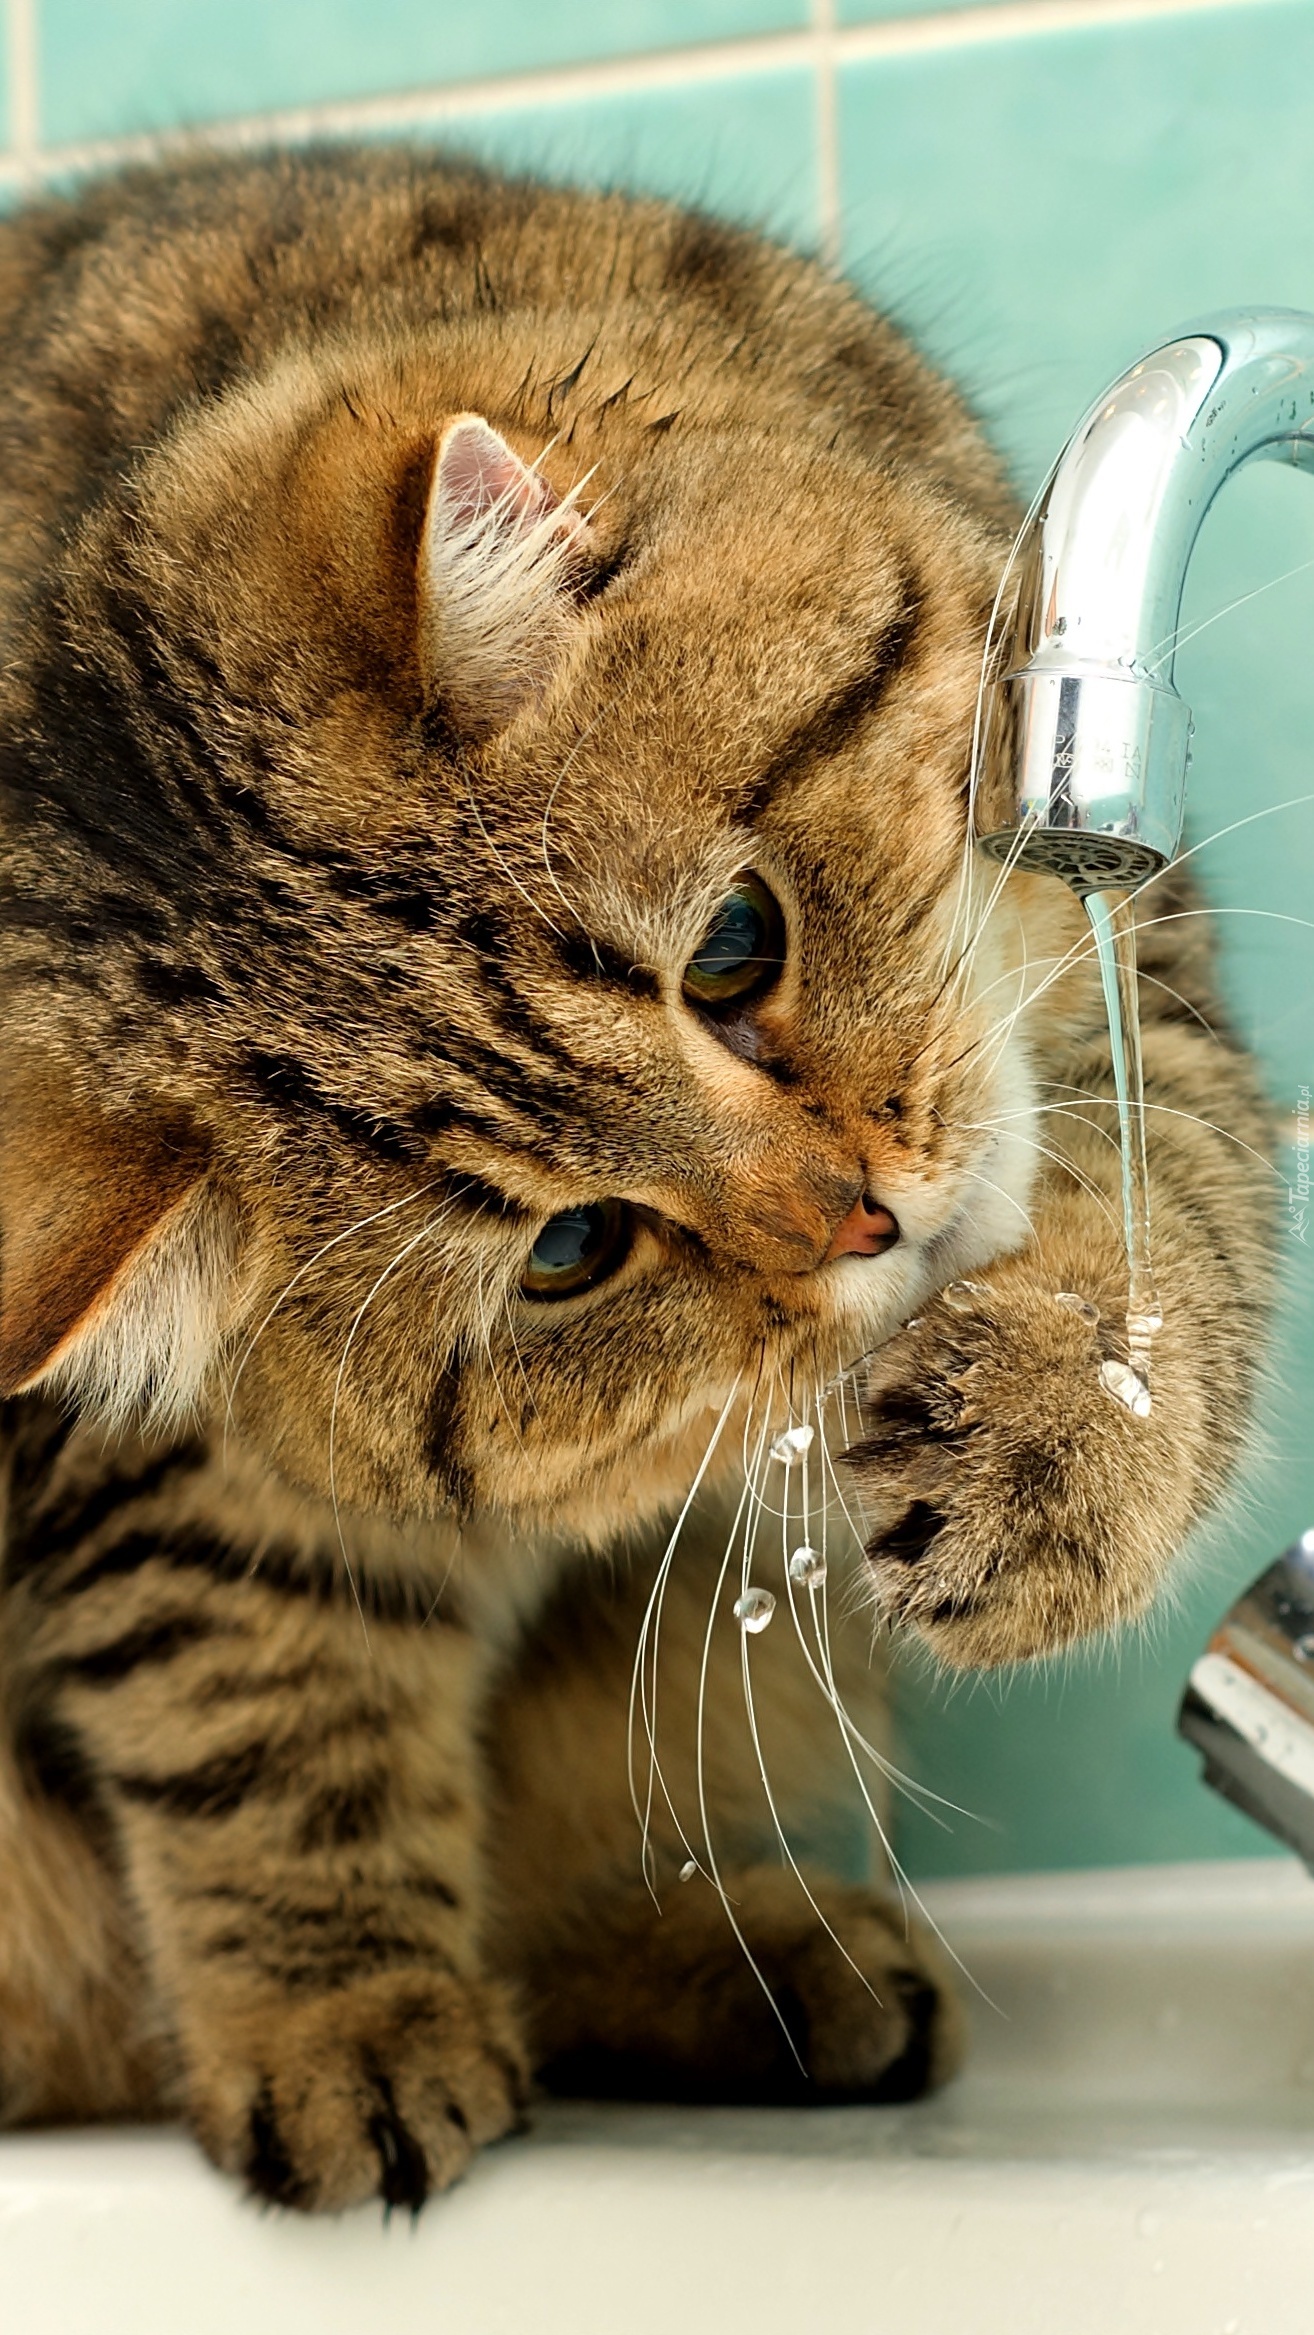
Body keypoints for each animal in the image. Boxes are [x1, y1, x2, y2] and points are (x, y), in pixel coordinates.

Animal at [0, 144, 1275, 2211]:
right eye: (569, 1253)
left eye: (734, 948)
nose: (867, 1221)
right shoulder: (168, 1481)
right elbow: (265, 1719)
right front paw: (340, 2022)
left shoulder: (1110, 941)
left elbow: (1172, 1232)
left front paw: (1034, 1456)